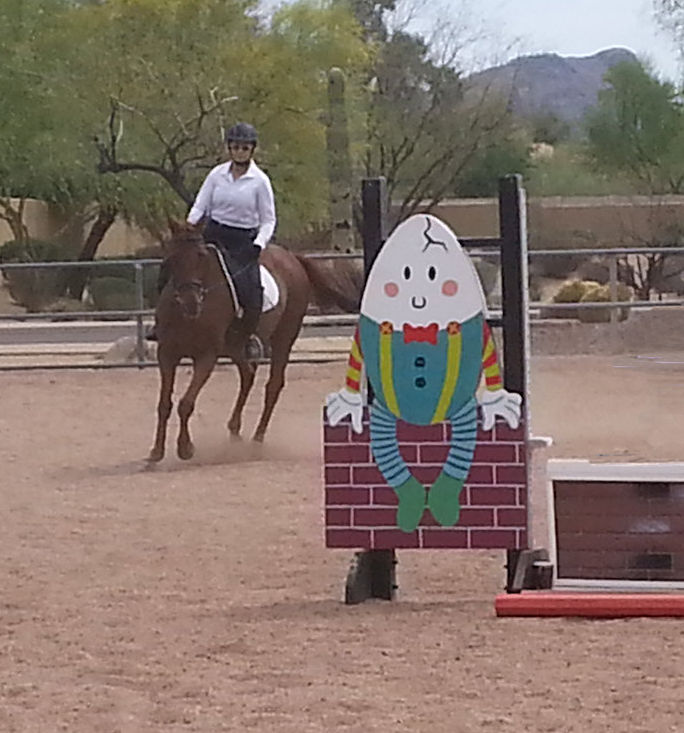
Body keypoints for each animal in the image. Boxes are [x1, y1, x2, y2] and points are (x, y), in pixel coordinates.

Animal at [147, 220, 336, 462]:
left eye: (201, 256)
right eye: (172, 257)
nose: (191, 303)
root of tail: (292, 257)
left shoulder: (206, 356)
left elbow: (185, 403)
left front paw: (185, 448)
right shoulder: (167, 354)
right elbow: (164, 404)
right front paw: (156, 452)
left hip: (284, 338)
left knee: (273, 385)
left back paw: (257, 440)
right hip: (236, 347)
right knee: (248, 374)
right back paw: (235, 431)